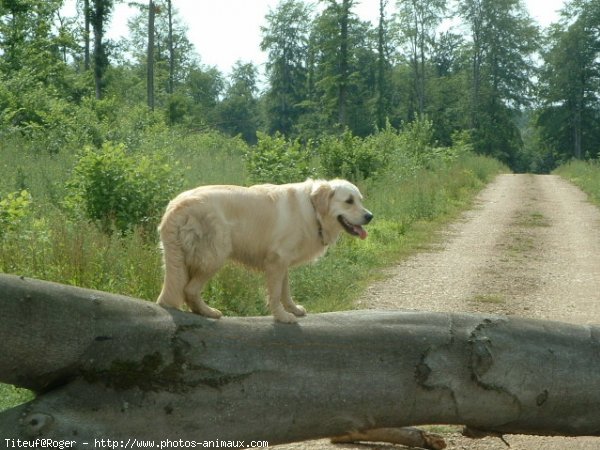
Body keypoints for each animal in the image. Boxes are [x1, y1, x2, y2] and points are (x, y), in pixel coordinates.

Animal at [156, 178, 370, 322]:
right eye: (349, 201)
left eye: (360, 200)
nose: (370, 216)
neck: (313, 211)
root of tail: (176, 206)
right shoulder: (277, 260)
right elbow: (275, 294)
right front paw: (282, 316)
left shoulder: (283, 262)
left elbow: (285, 291)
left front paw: (293, 309)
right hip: (215, 255)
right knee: (190, 289)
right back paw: (209, 312)